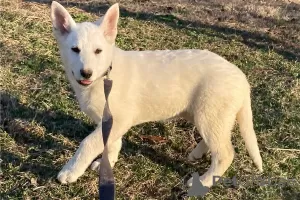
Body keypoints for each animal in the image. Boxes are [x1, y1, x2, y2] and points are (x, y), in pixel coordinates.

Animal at [49, 1, 262, 188]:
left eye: (98, 51)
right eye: (75, 50)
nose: (86, 73)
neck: (104, 76)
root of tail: (241, 77)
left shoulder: (119, 120)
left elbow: (88, 143)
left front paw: (70, 171)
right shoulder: (111, 122)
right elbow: (111, 143)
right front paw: (106, 163)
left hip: (210, 115)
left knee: (225, 154)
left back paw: (204, 181)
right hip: (203, 115)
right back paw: (196, 154)